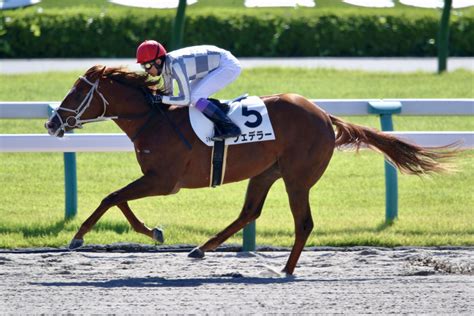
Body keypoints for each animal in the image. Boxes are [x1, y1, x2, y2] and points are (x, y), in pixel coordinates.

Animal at [45, 65, 456, 274]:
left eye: (77, 92)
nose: (51, 123)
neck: (151, 119)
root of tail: (325, 115)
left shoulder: (164, 180)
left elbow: (112, 197)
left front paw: (79, 237)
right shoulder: (157, 179)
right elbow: (119, 199)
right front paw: (154, 232)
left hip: (297, 177)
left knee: (303, 223)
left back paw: (286, 269)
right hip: (266, 171)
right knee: (249, 212)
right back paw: (202, 248)